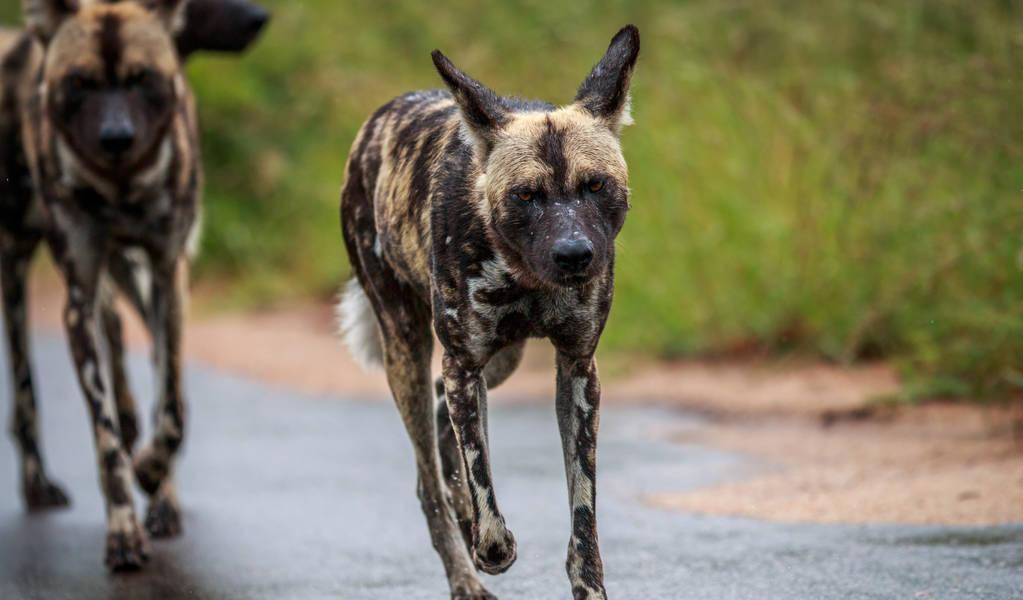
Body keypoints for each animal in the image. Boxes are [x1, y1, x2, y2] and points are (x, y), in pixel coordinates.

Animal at [0, 0, 268, 572]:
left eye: (142, 79)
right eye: (80, 83)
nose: (116, 138)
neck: (120, 189)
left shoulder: (168, 278)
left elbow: (171, 409)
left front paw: (152, 474)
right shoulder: (78, 299)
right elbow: (105, 440)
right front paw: (123, 527)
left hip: (128, 282)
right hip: (19, 270)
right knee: (26, 393)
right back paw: (38, 483)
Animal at [339, 24, 634, 600]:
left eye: (595, 185)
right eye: (527, 195)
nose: (575, 255)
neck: (526, 276)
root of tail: (378, 119)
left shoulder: (577, 370)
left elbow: (583, 517)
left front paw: (588, 586)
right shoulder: (463, 363)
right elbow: (487, 503)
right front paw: (490, 546)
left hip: (501, 360)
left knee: (440, 417)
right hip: (408, 352)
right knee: (429, 479)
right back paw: (464, 572)